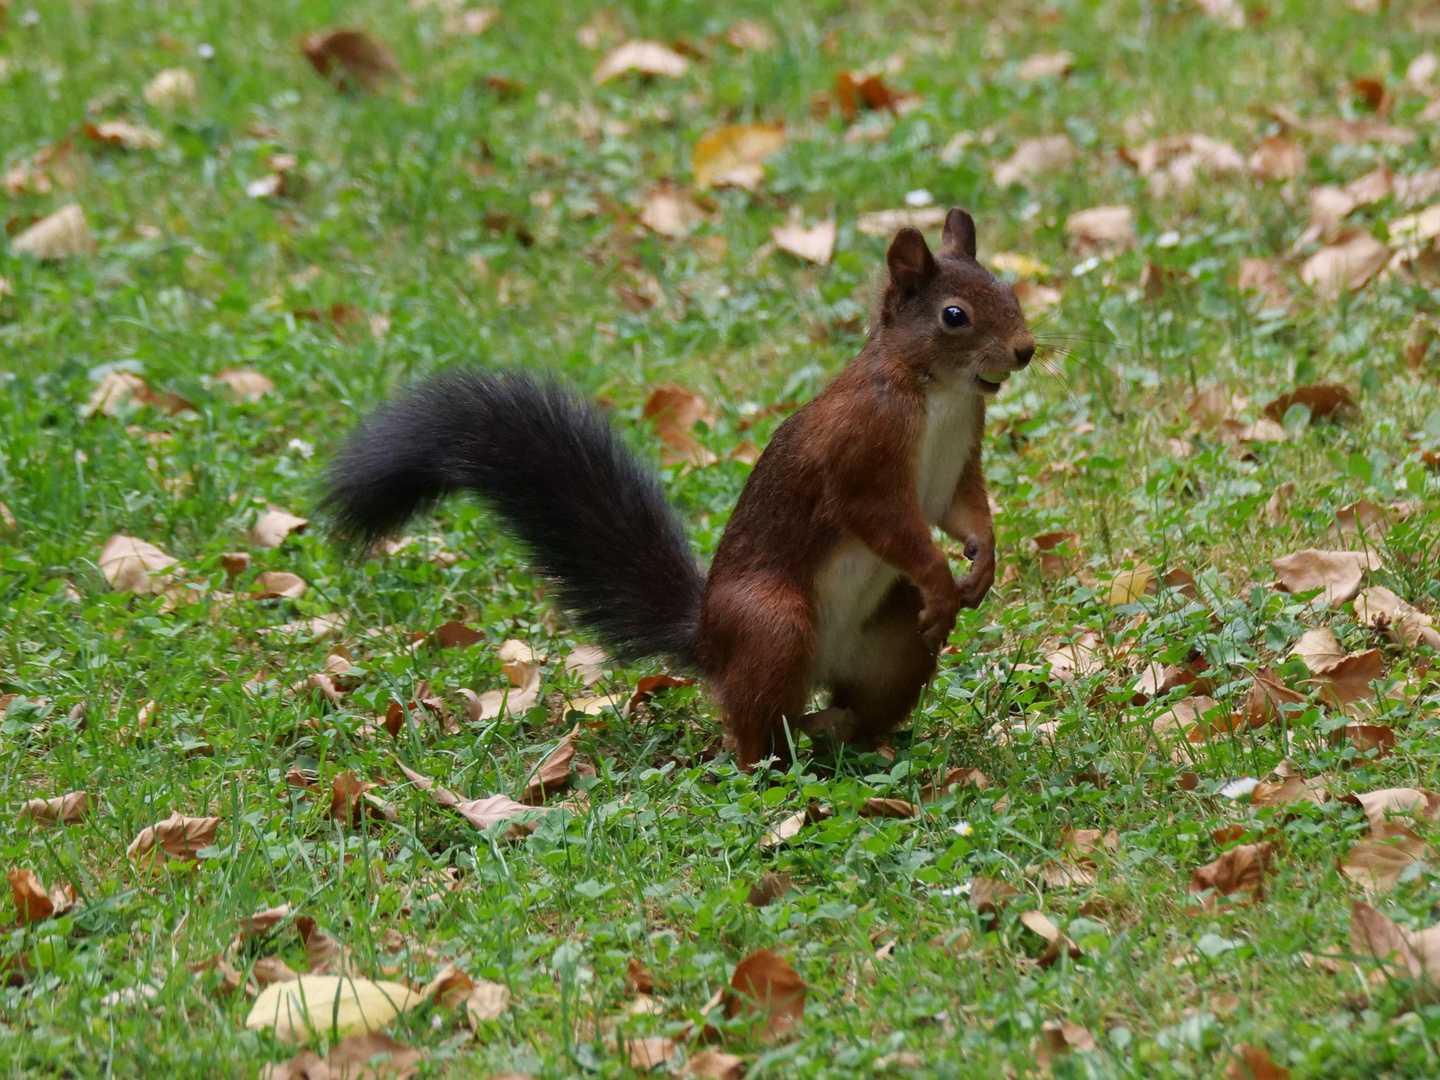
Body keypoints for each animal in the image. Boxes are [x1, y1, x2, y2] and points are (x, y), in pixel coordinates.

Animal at [321, 207, 1031, 771]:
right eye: (955, 316)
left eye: (1009, 289)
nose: (1025, 350)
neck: (939, 391)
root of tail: (711, 641)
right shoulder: (863, 454)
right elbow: (886, 519)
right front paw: (942, 579)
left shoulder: (960, 458)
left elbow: (963, 509)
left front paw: (983, 563)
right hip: (773, 626)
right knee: (757, 730)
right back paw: (779, 760)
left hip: (894, 645)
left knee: (858, 706)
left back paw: (857, 734)